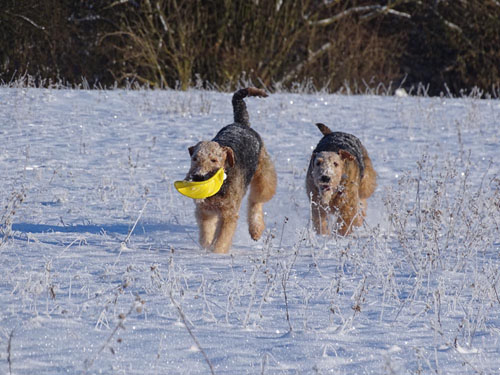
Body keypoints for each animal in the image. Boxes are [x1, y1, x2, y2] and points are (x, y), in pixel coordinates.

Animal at [185, 87, 278, 253]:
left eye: (214, 160)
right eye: (195, 158)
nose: (198, 177)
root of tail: (240, 123)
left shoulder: (228, 213)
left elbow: (222, 239)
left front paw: (216, 254)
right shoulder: (205, 211)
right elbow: (207, 233)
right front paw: (206, 249)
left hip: (263, 174)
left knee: (256, 200)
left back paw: (256, 230)